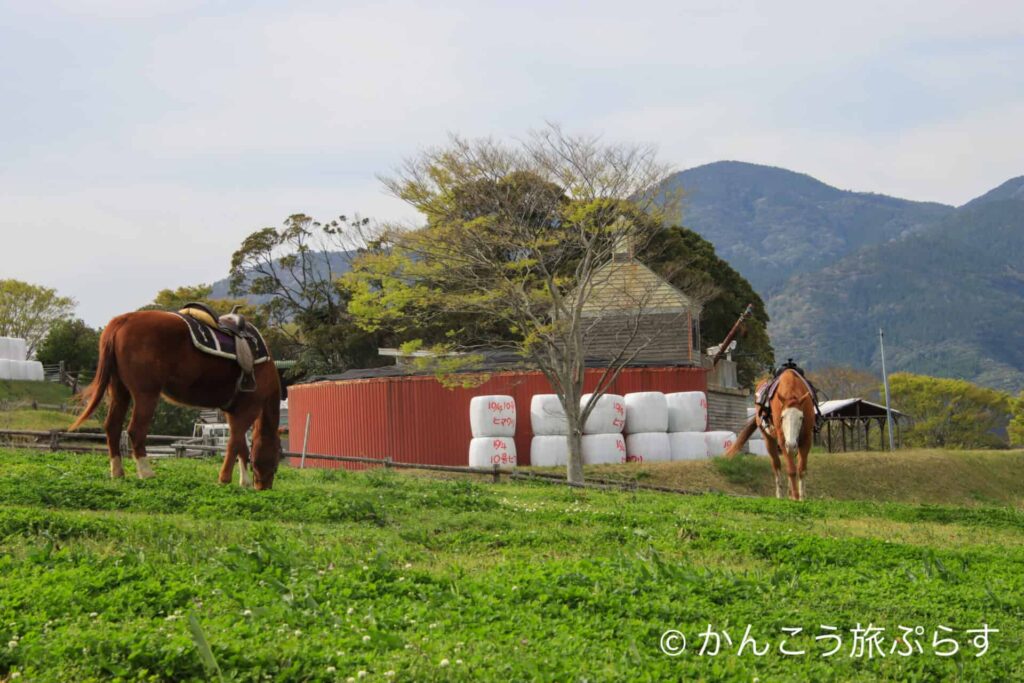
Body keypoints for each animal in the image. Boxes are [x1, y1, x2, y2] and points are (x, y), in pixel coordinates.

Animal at [70, 309, 282, 491]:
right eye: (277, 458)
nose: (264, 487)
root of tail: (123, 320)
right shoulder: (248, 409)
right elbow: (234, 443)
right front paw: (225, 479)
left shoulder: (234, 412)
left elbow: (241, 446)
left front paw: (243, 481)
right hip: (146, 394)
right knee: (136, 431)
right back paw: (146, 473)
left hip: (120, 391)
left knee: (113, 427)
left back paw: (118, 472)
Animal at [729, 368, 815, 501]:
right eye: (782, 417)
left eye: (801, 417)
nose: (791, 444)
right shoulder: (782, 440)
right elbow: (791, 469)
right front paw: (796, 496)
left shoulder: (806, 439)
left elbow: (801, 469)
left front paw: (801, 497)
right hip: (769, 439)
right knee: (776, 464)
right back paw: (780, 495)